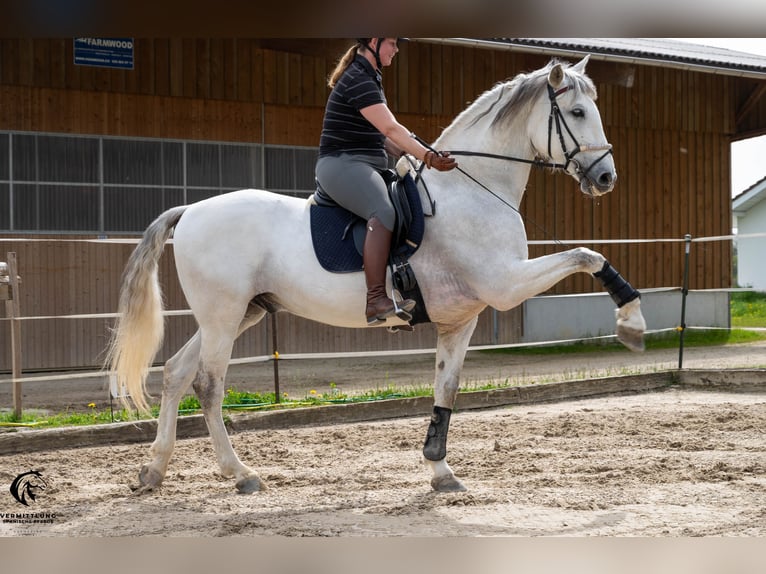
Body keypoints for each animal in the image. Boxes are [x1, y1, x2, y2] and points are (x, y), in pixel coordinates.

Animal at [106, 57, 648, 496]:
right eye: (576, 113)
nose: (606, 178)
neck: (472, 190)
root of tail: (190, 210)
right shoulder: (505, 284)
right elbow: (587, 255)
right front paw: (632, 322)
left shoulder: (462, 319)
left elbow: (446, 390)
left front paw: (441, 472)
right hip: (223, 317)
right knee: (208, 384)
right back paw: (240, 474)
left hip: (239, 314)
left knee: (176, 373)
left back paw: (153, 471)